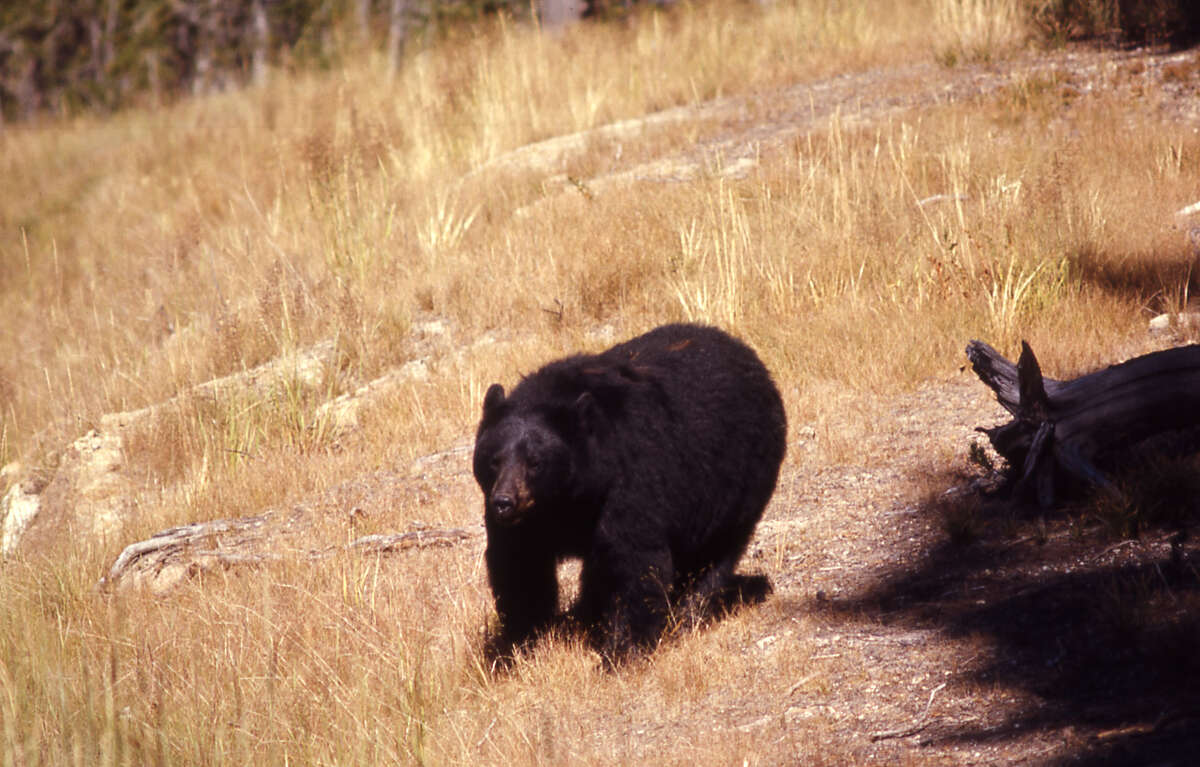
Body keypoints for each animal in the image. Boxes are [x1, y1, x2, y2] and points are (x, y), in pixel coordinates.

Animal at [468, 324, 787, 667]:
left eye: (535, 462)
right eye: (494, 460)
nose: (504, 502)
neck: (568, 499)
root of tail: (746, 353)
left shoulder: (631, 479)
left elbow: (633, 559)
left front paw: (621, 652)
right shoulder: (527, 523)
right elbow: (519, 564)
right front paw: (518, 643)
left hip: (738, 480)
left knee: (716, 550)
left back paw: (690, 609)